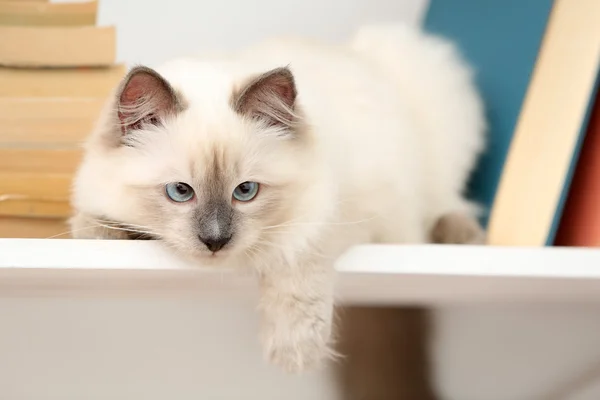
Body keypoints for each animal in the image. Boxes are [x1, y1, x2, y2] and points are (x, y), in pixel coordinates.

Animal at [68, 24, 486, 376]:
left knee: (446, 207)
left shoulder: (331, 213)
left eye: (245, 191)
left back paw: (463, 234)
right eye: (181, 192)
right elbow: (100, 220)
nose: (215, 241)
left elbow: (295, 263)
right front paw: (92, 231)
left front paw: (294, 350)